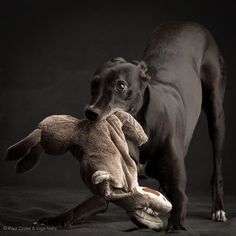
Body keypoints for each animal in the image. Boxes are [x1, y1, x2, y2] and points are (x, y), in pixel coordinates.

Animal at [36, 21, 226, 231]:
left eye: (121, 85)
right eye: (93, 85)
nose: (90, 113)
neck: (140, 130)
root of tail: (189, 23)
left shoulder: (179, 190)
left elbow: (179, 206)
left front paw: (174, 225)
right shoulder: (107, 188)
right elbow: (83, 206)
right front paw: (55, 219)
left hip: (216, 116)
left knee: (217, 168)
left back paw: (218, 209)